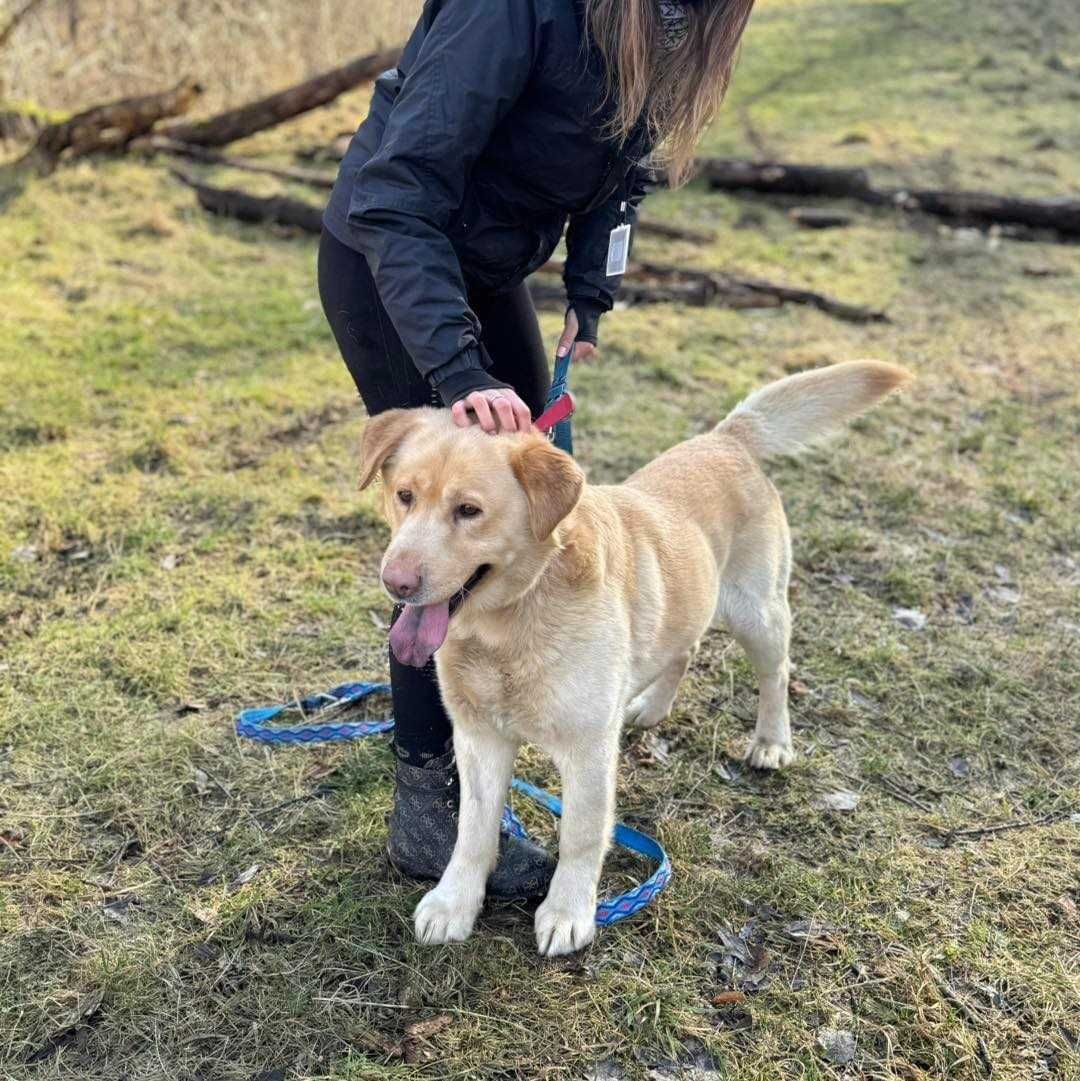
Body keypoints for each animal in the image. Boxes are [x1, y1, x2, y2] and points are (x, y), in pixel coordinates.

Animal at [361, 361, 912, 955]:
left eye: (469, 510)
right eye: (404, 496)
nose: (396, 582)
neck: (510, 623)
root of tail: (728, 437)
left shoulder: (588, 751)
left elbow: (580, 835)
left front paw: (568, 912)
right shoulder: (478, 738)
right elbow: (472, 831)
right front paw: (454, 903)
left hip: (757, 615)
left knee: (775, 674)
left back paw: (771, 741)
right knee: (683, 648)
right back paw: (650, 708)